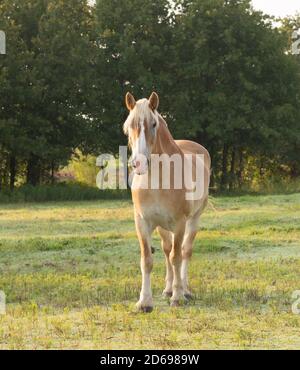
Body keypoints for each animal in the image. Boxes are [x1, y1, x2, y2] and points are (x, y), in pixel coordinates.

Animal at [123, 92, 210, 312]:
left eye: (153, 124)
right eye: (128, 126)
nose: (138, 164)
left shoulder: (179, 223)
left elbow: (177, 257)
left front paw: (178, 297)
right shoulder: (142, 222)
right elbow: (147, 259)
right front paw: (144, 302)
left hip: (194, 219)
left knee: (185, 251)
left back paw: (185, 291)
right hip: (162, 226)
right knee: (167, 249)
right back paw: (168, 289)